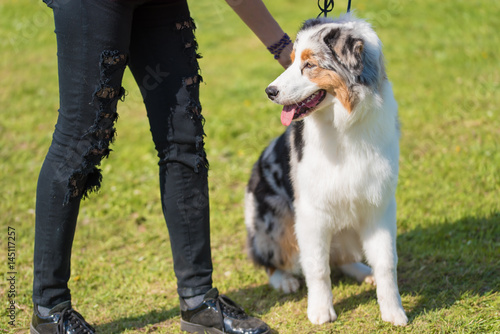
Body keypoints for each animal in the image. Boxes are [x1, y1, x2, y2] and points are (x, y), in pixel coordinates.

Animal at [244, 14, 408, 324]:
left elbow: (386, 262)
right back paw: (284, 280)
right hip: (275, 219)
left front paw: (394, 311)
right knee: (270, 258)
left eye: (310, 65)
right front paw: (320, 311)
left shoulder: (378, 204)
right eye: (292, 61)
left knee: (341, 259)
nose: (269, 92)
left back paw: (361, 271)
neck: (343, 126)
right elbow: (317, 268)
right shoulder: (312, 212)